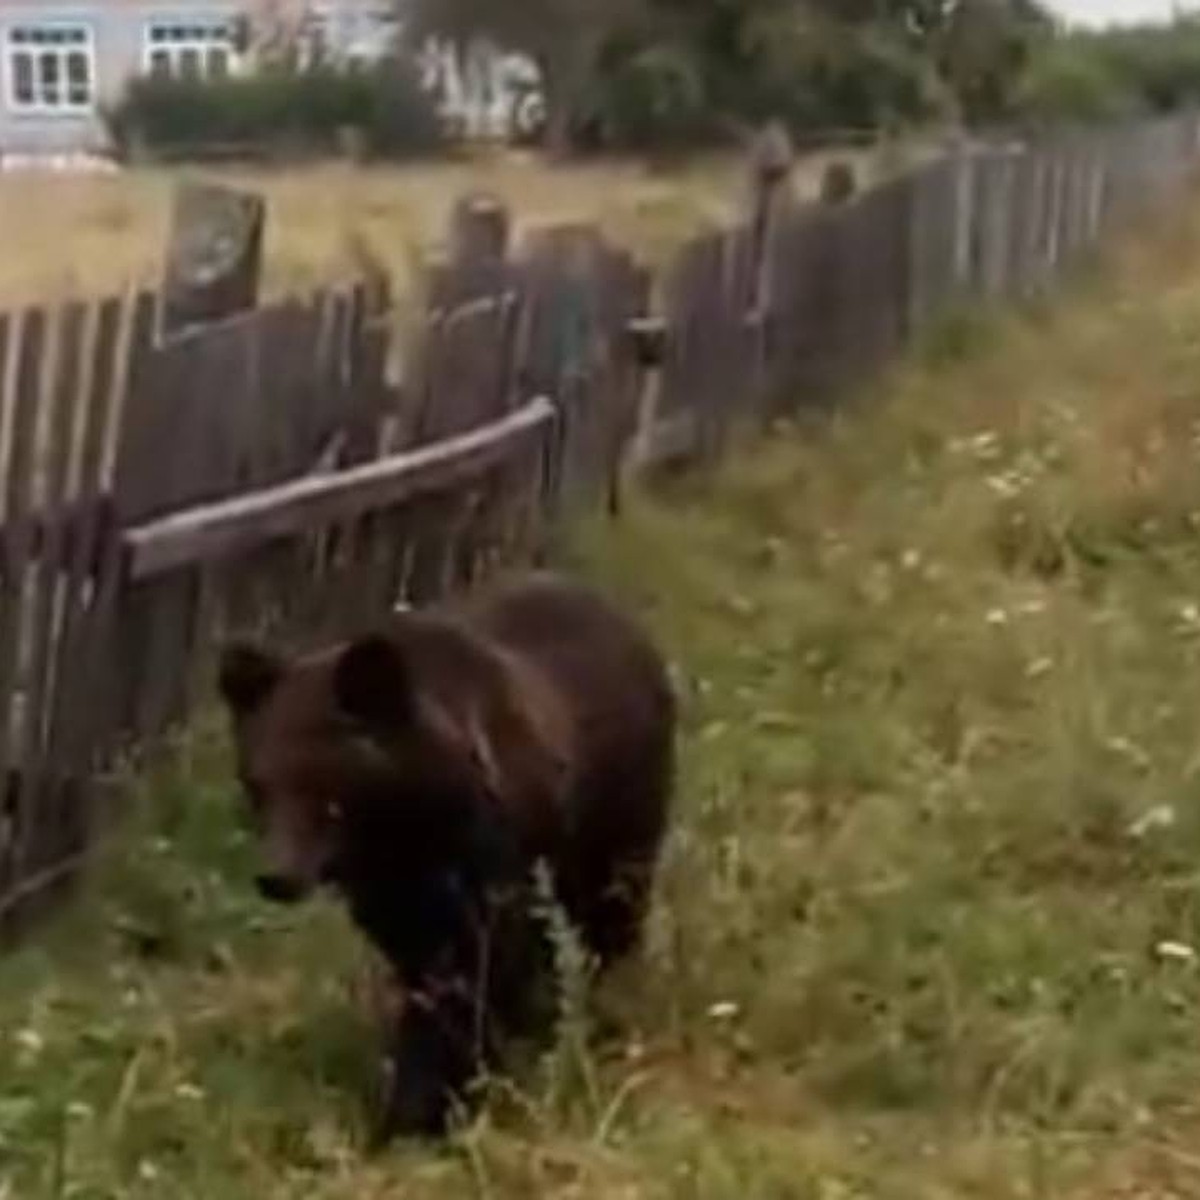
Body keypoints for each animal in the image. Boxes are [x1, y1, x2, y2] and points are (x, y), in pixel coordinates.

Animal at [216, 571, 676, 1142]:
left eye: (323, 789)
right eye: (259, 783)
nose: (276, 876)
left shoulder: (487, 869)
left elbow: (474, 973)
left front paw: (440, 1099)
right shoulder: (393, 894)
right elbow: (429, 976)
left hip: (621, 812)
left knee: (613, 908)